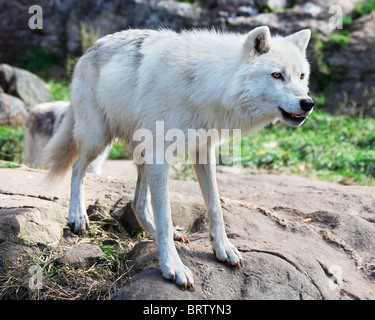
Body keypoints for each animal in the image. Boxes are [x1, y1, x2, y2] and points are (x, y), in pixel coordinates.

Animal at [42, 26, 314, 292]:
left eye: (301, 76)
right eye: (277, 75)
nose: (308, 103)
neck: (208, 84)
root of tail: (92, 47)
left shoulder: (203, 151)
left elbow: (214, 206)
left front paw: (223, 249)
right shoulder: (159, 155)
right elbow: (166, 215)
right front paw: (173, 266)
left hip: (140, 153)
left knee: (138, 203)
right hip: (97, 139)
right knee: (77, 168)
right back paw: (78, 217)